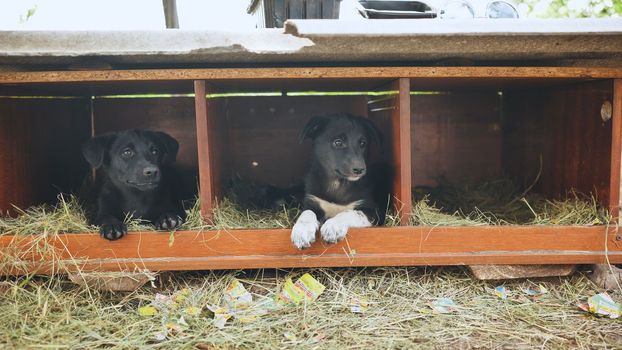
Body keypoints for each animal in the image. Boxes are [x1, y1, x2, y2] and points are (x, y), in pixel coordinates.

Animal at [292, 113, 388, 249]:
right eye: (338, 142)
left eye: (363, 143)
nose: (360, 169)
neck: (338, 183)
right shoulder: (312, 201)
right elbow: (306, 213)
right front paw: (301, 232)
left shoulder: (374, 212)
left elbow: (349, 212)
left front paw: (333, 226)